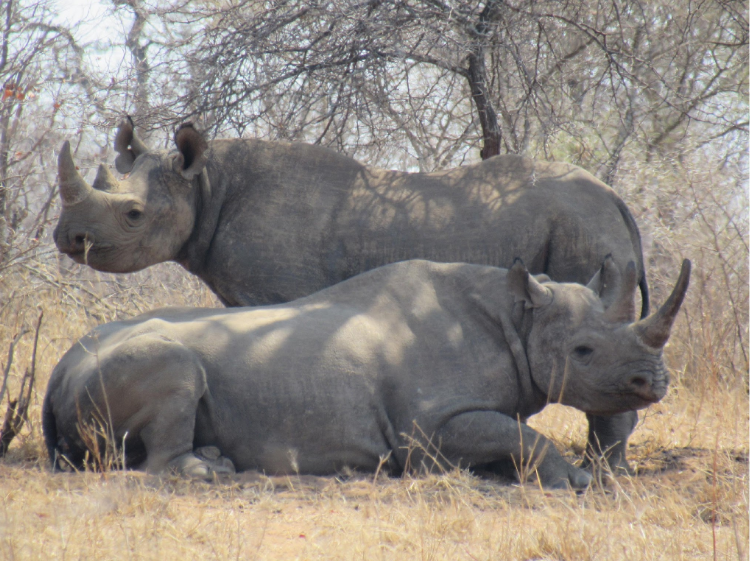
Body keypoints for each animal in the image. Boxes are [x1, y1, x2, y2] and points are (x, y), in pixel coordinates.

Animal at [42, 256, 692, 488]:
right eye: (583, 351)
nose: (652, 383)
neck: (516, 317)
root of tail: (54, 371)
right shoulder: (427, 431)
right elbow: (521, 435)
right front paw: (575, 482)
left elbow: (516, 432)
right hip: (128, 359)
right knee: (176, 368)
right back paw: (213, 472)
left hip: (85, 364)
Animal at [53, 121, 652, 468]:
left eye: (132, 215)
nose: (68, 238)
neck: (205, 184)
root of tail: (617, 200)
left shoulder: (268, 288)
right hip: (587, 223)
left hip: (581, 226)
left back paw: (606, 474)